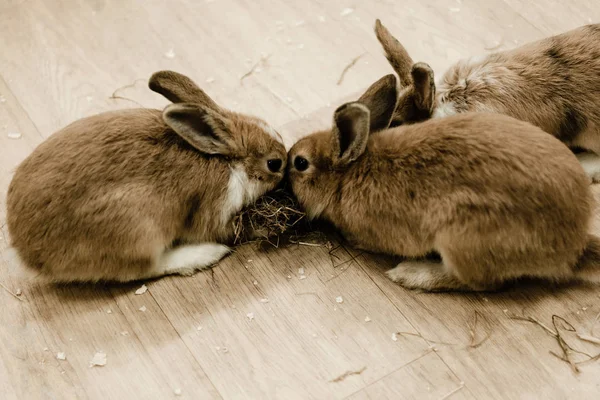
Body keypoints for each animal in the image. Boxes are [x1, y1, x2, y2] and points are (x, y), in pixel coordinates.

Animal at [286, 75, 600, 292]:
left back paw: (410, 274)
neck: (347, 174)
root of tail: (573, 247)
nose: (286, 169)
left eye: (300, 163)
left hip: (461, 237)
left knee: (481, 283)